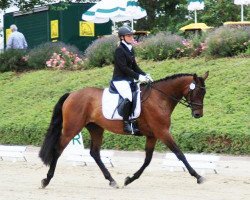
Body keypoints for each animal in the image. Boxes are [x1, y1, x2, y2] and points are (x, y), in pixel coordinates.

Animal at [38, 71, 209, 188]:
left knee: (95, 153)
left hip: (96, 128)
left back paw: (112, 180)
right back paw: (46, 180)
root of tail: (71, 94)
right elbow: (179, 153)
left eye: (204, 92)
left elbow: (147, 160)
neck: (160, 98)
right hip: (72, 128)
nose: (198, 114)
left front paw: (129, 179)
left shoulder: (152, 135)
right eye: (196, 91)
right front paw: (198, 176)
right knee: (58, 149)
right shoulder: (162, 132)